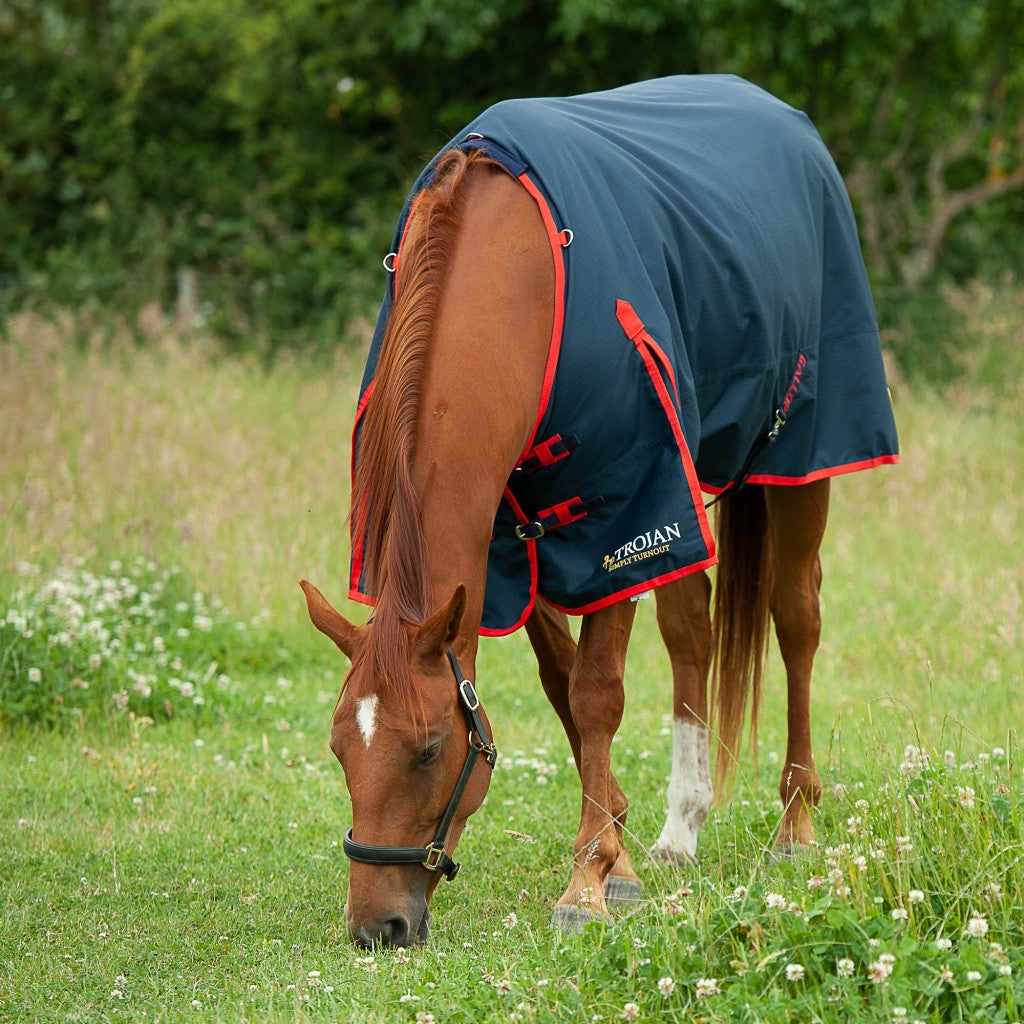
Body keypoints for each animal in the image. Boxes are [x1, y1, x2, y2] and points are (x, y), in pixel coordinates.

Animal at [301, 75, 898, 948]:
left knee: (796, 619)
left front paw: (586, 882)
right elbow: (562, 686)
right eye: (342, 747)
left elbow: (595, 693)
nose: (379, 927)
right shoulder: (509, 547)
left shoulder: (625, 511)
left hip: (802, 454)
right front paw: (619, 856)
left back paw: (795, 824)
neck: (514, 285)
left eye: (429, 750)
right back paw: (683, 826)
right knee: (693, 630)